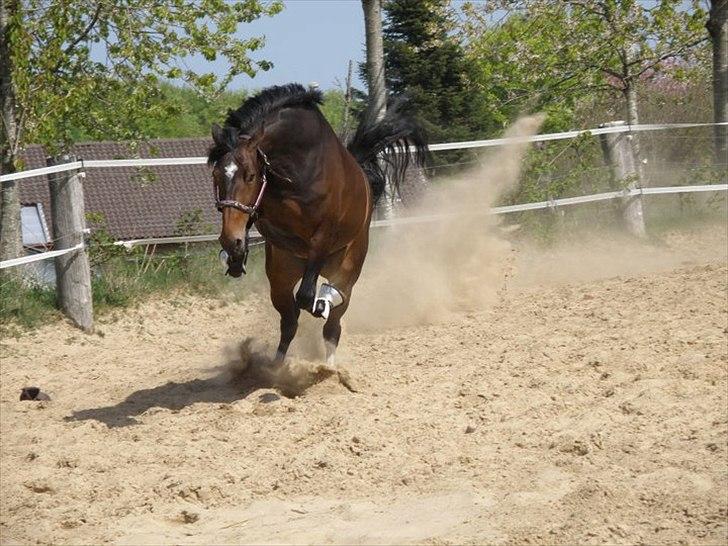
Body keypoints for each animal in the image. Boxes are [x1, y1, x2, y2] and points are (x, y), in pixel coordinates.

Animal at [208, 84, 426, 366]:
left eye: (250, 176)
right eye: (216, 175)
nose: (229, 240)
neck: (295, 169)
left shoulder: (323, 237)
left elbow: (307, 297)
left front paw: (320, 303)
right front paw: (235, 256)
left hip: (347, 264)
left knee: (332, 319)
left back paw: (329, 360)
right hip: (282, 272)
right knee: (289, 321)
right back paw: (277, 366)